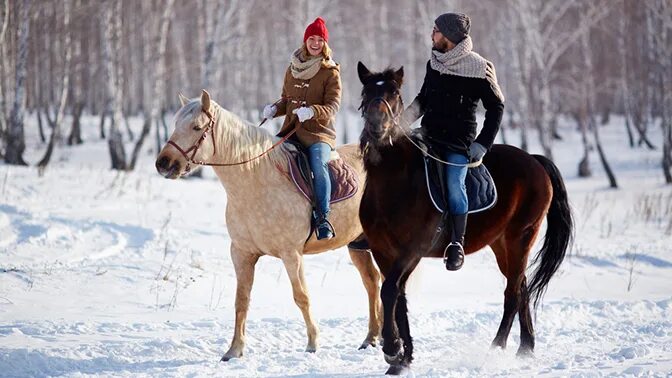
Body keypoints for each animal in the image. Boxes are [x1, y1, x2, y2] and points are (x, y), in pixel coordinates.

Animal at [154, 91, 380, 360]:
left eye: (197, 127)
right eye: (176, 124)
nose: (163, 163)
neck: (257, 181)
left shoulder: (291, 254)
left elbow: (301, 296)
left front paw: (312, 343)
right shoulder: (242, 253)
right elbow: (241, 300)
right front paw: (234, 350)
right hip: (357, 244)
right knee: (372, 282)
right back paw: (372, 338)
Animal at [356, 62, 572, 376]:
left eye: (394, 93)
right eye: (366, 92)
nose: (377, 126)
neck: (395, 181)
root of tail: (534, 159)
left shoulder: (412, 251)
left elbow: (389, 291)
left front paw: (392, 350)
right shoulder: (384, 251)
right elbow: (398, 297)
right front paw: (403, 359)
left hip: (521, 237)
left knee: (513, 293)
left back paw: (496, 349)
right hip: (501, 244)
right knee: (521, 286)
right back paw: (525, 348)